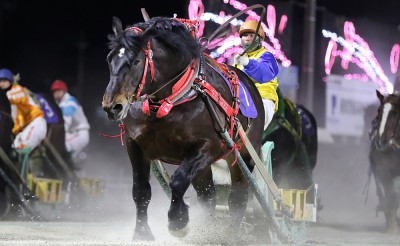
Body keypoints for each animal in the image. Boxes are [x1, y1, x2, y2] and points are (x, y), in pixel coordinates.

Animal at [102, 16, 266, 239]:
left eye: (136, 61)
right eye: (109, 59)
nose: (112, 106)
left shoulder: (208, 146)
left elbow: (178, 181)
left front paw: (178, 221)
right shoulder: (134, 144)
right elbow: (141, 190)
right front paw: (142, 234)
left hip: (243, 154)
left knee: (238, 197)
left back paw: (228, 234)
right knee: (208, 196)